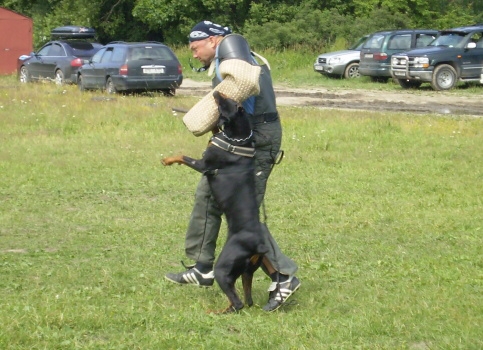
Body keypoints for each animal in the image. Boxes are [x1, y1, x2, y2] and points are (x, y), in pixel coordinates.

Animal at [163, 91, 268, 314]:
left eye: (229, 101)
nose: (216, 92)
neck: (237, 139)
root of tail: (259, 245)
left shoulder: (203, 165)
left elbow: (182, 155)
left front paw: (167, 160)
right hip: (246, 271)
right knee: (246, 300)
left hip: (223, 267)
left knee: (238, 302)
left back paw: (214, 313)